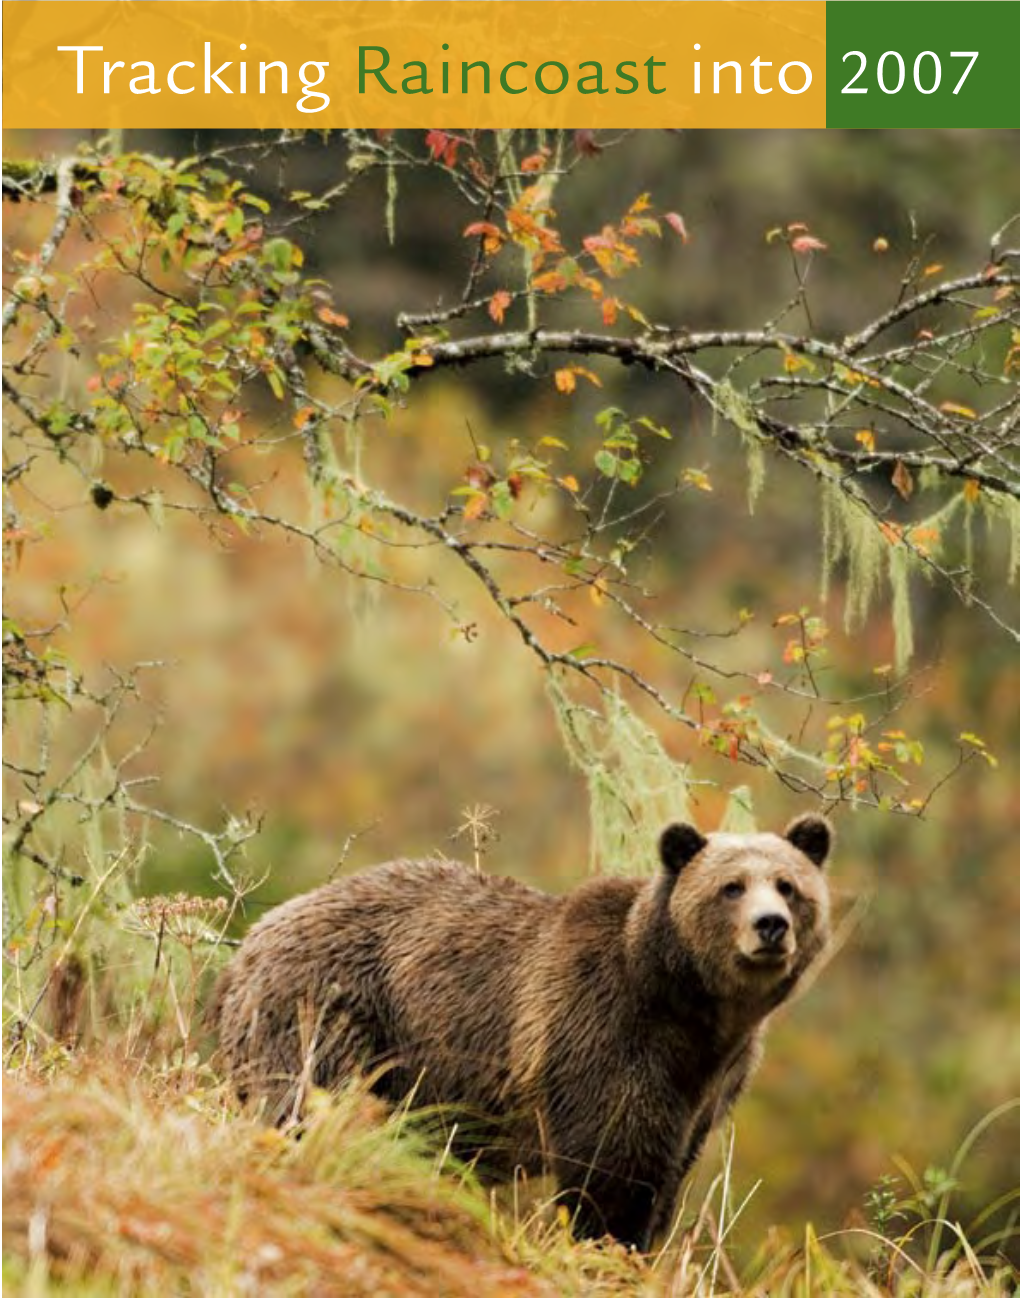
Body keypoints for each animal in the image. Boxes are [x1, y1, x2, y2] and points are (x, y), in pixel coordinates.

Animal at [210, 815, 830, 1251]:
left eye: (788, 885)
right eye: (732, 886)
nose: (770, 926)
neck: (691, 1007)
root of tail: (248, 941)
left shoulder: (712, 1082)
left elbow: (669, 1172)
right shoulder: (603, 1034)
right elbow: (613, 1165)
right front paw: (605, 1244)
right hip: (328, 1008)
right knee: (304, 1099)